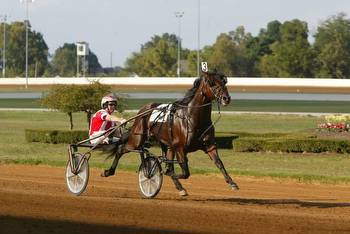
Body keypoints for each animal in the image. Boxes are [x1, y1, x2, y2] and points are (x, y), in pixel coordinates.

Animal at [104, 71, 239, 196]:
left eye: (224, 82)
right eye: (211, 83)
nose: (226, 98)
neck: (192, 118)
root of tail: (143, 110)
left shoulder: (209, 146)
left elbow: (219, 163)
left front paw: (232, 183)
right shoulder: (180, 148)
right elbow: (184, 173)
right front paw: (159, 174)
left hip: (168, 146)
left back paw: (179, 188)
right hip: (137, 140)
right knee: (121, 149)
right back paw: (109, 172)